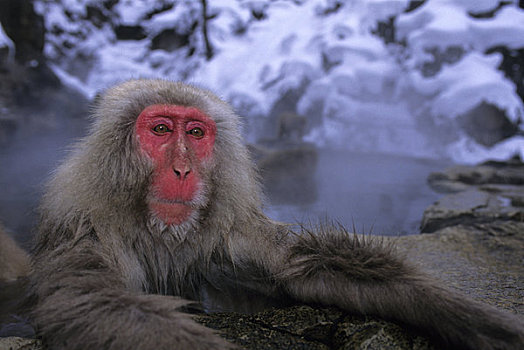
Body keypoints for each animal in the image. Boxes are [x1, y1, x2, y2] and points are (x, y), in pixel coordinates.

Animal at [30, 79, 520, 350]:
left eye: (195, 133)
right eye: (161, 129)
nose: (183, 169)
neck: (162, 233)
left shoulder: (227, 236)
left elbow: (305, 268)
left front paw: (471, 320)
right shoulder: (84, 232)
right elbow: (98, 304)